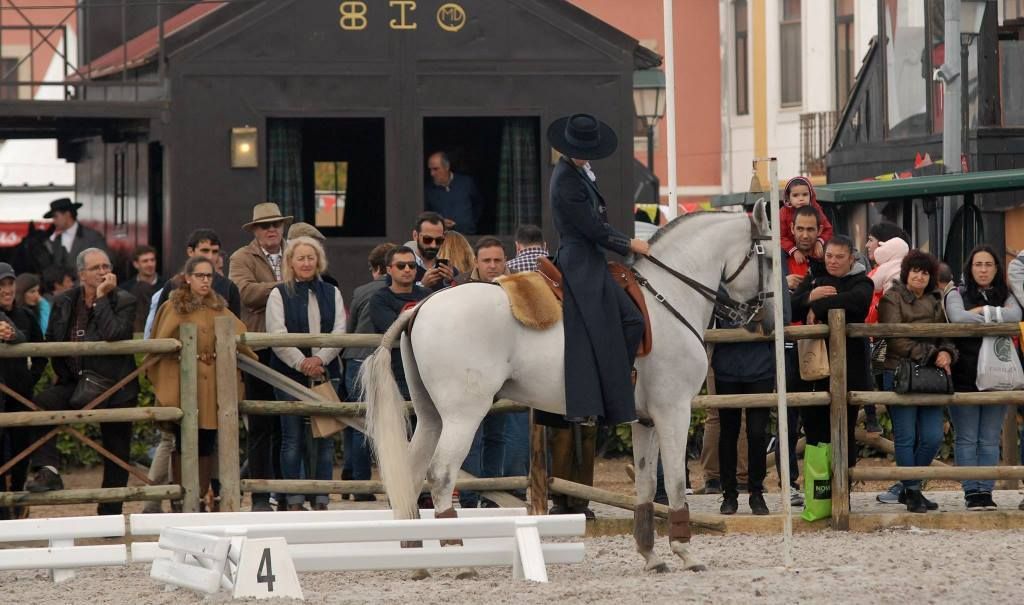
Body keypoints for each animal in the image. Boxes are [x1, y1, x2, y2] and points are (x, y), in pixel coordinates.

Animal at [356, 201, 770, 573]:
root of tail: (419, 307)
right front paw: (685, 552)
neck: (667, 299)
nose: (764, 319)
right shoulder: (675, 412)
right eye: (767, 258)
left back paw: (415, 558)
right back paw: (459, 559)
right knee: (441, 475)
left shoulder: (645, 420)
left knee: (410, 476)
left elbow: (647, 483)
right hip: (463, 416)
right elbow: (677, 482)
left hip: (431, 417)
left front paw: (650, 555)